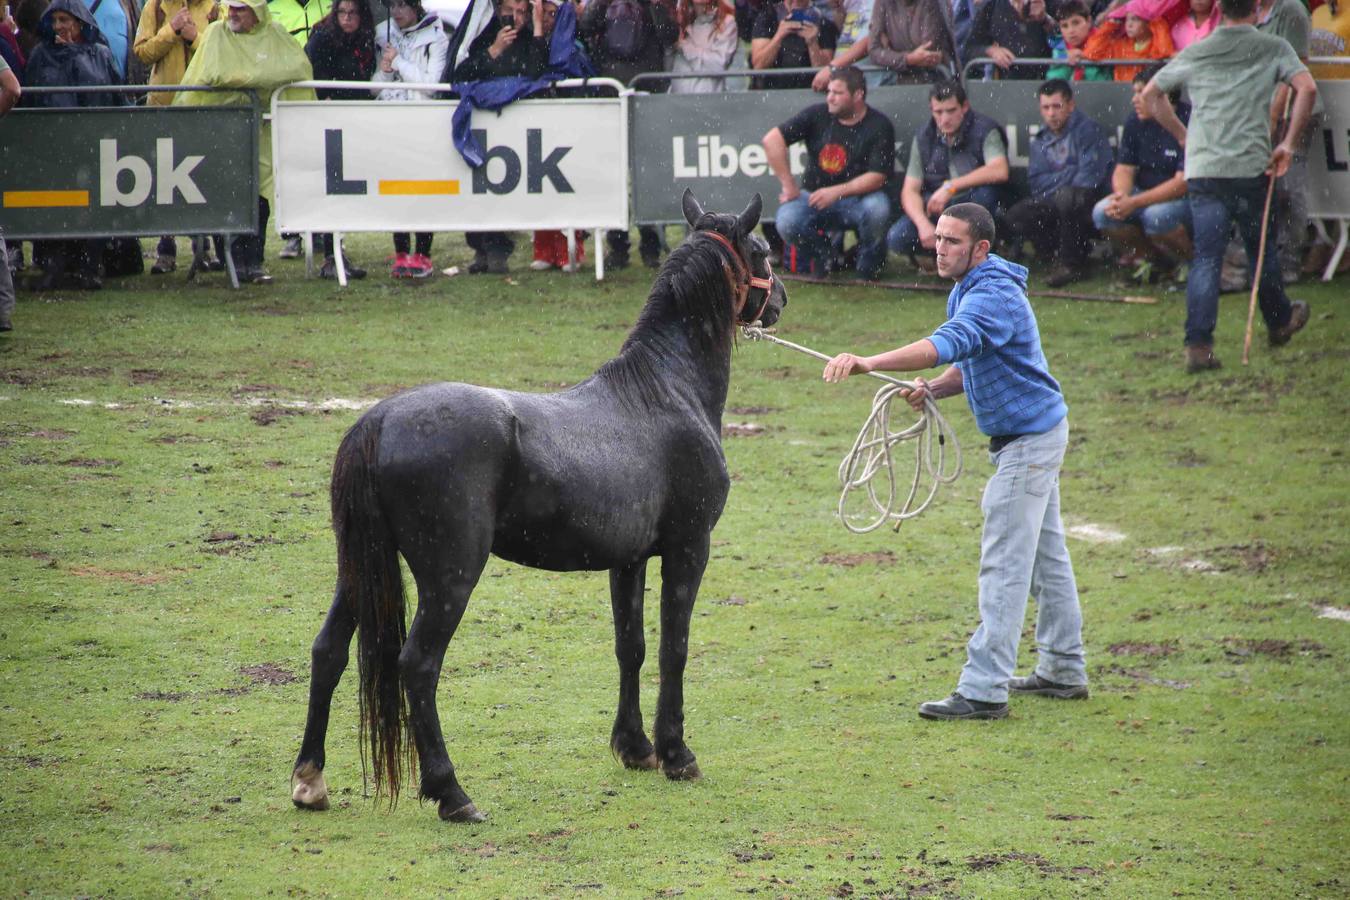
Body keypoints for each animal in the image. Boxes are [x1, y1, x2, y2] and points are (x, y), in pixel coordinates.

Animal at [290, 190, 788, 825]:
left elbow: (631, 647)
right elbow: (673, 648)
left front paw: (635, 749)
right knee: (418, 666)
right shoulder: (688, 548)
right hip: (450, 578)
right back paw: (452, 794)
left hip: (359, 567)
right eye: (763, 250)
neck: (664, 392)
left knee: (327, 651)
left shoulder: (628, 561)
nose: (780, 298)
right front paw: (677, 755)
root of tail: (377, 421)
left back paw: (310, 780)